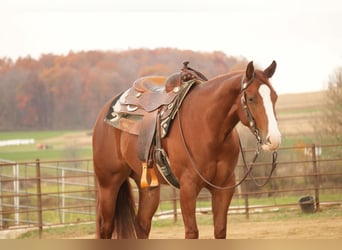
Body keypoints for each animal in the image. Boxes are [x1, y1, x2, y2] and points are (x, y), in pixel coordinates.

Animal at [92, 60, 282, 238]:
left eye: (275, 97)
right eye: (251, 98)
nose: (274, 139)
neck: (207, 127)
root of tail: (106, 112)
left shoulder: (224, 187)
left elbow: (220, 230)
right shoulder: (188, 188)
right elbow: (192, 232)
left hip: (147, 187)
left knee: (142, 227)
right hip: (108, 184)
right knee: (105, 228)